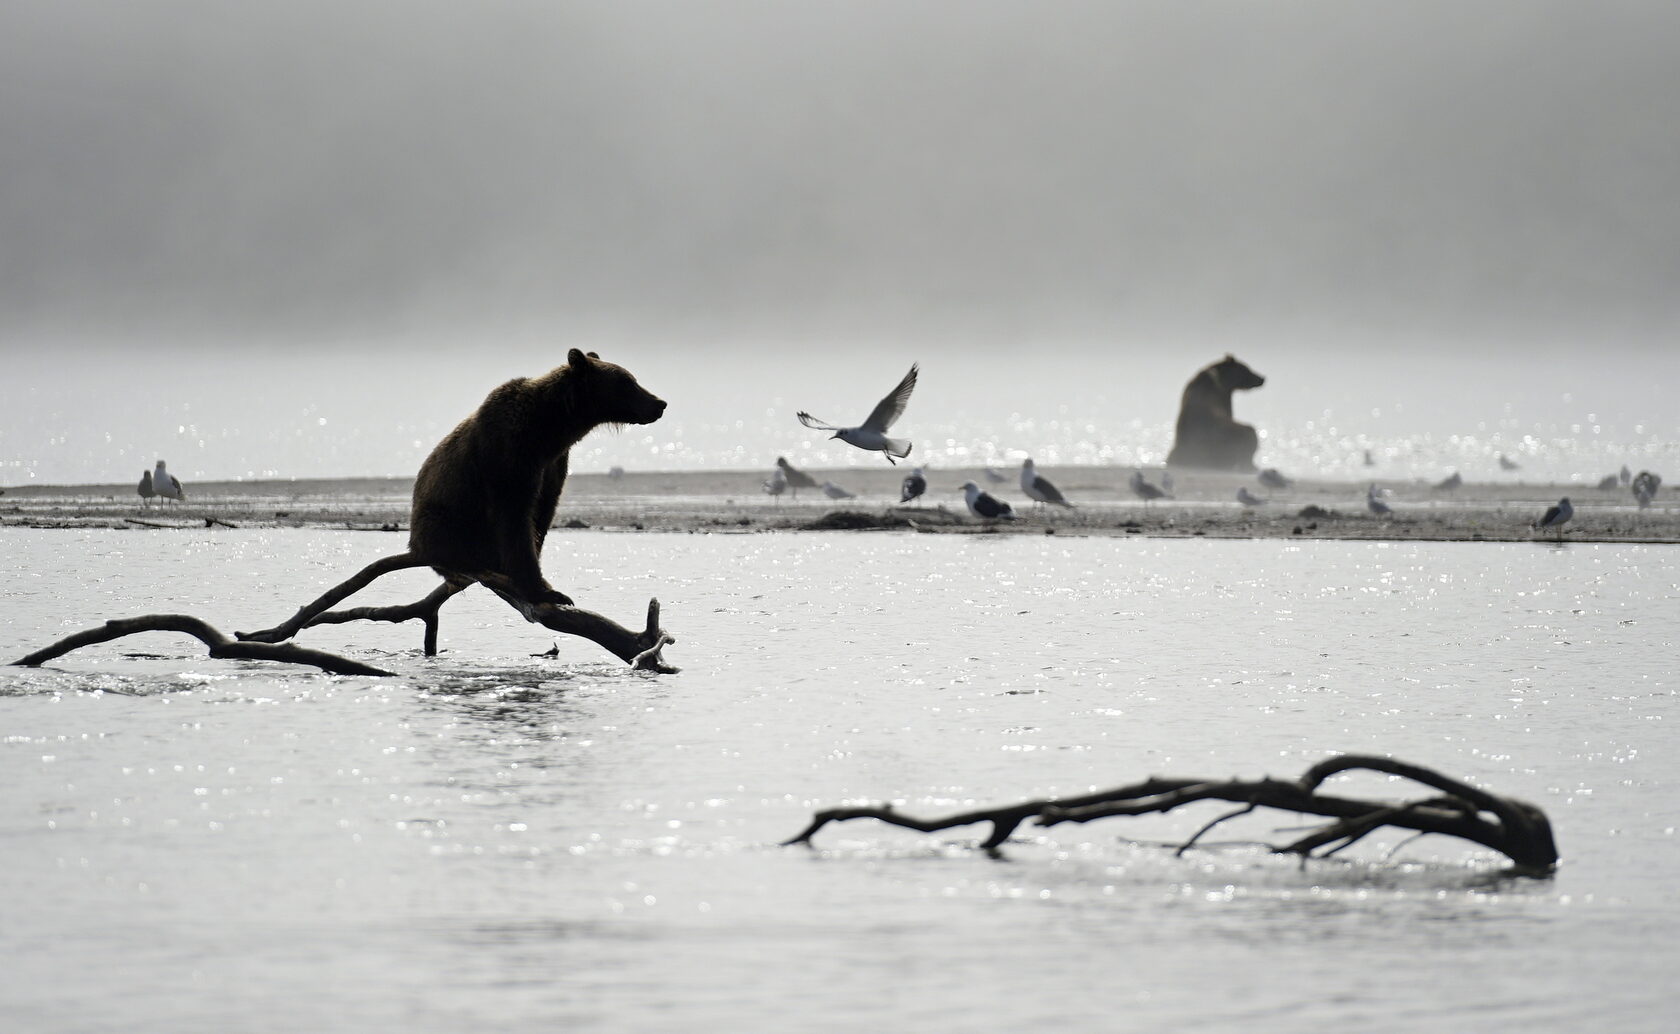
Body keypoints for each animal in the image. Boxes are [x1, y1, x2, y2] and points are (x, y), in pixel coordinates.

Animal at [406, 349, 661, 605]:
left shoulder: (553, 465)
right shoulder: (509, 456)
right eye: (627, 382)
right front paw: (541, 589)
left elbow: (542, 513)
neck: (547, 432)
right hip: (445, 516)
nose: (660, 403)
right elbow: (515, 517)